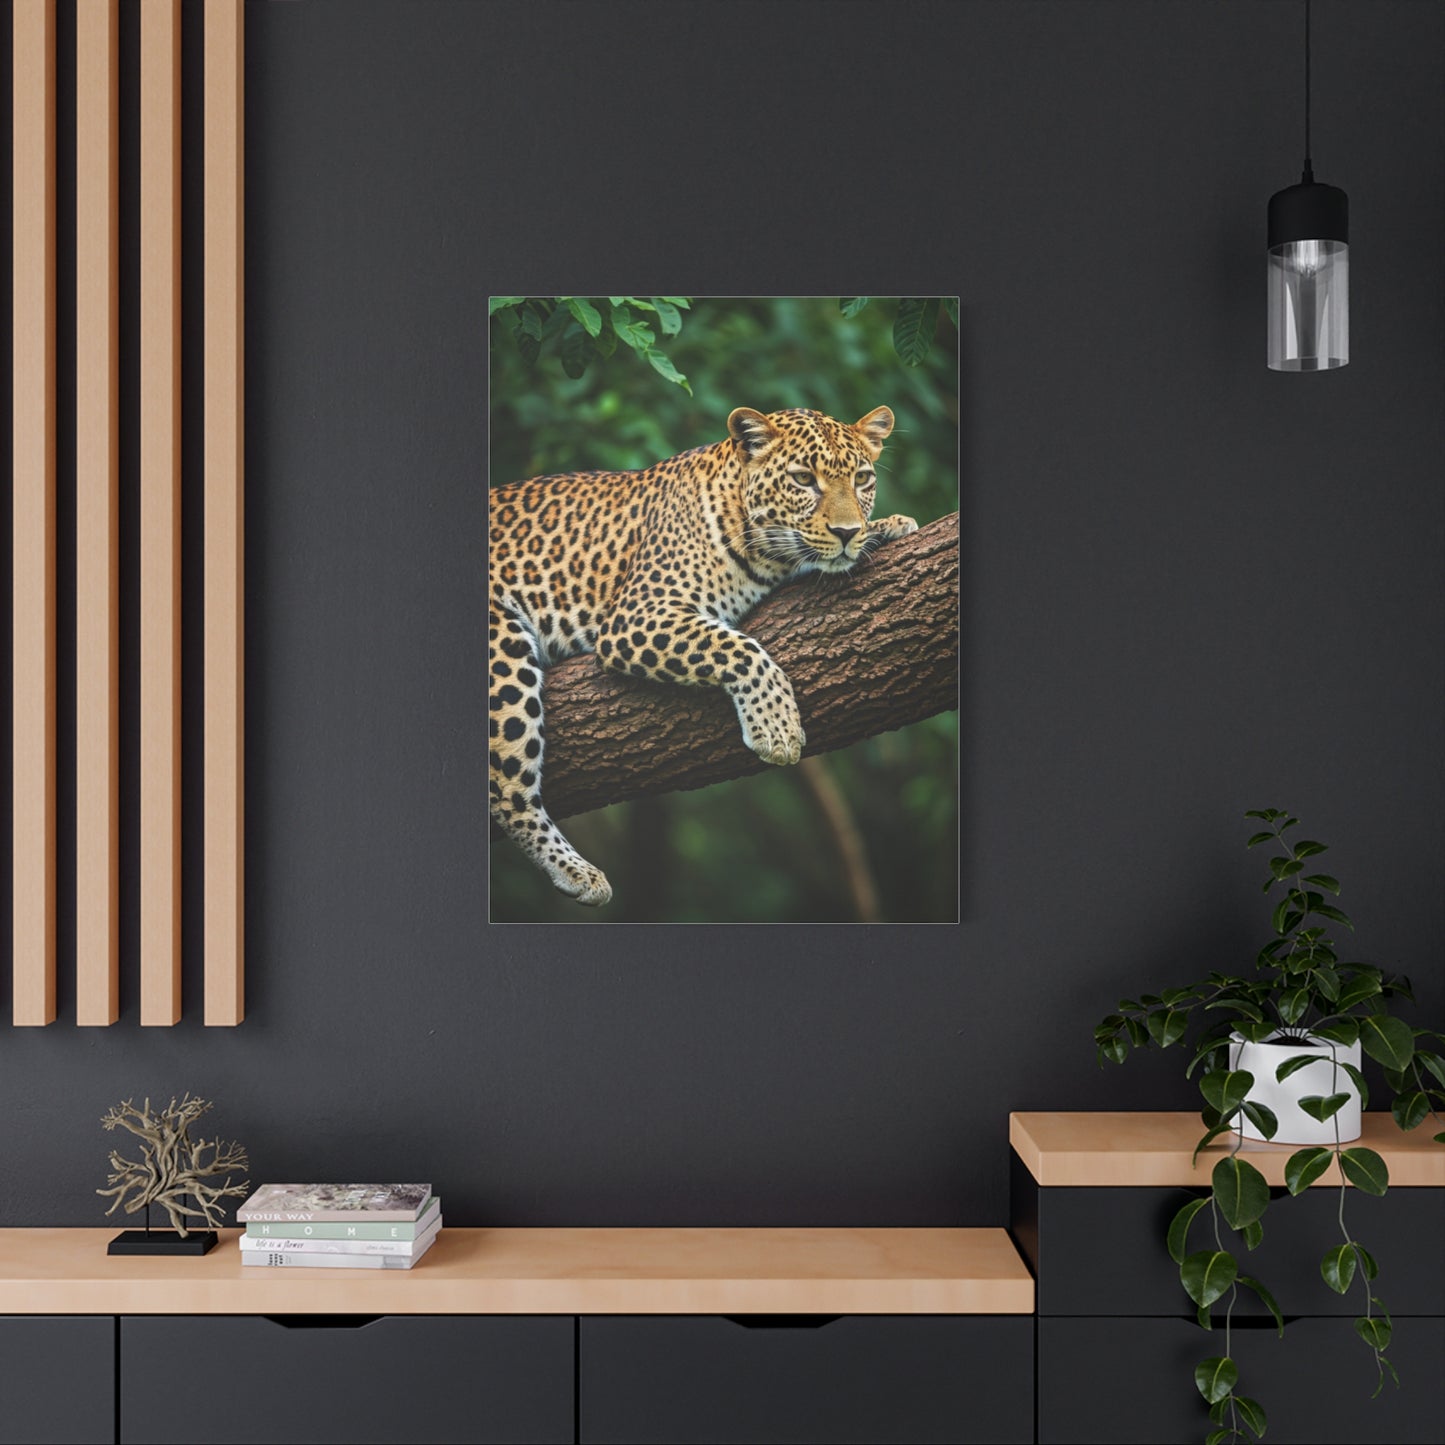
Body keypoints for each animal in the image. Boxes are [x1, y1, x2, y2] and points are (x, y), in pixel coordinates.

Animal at [489, 405, 917, 906]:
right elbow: (741, 648)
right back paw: (576, 871)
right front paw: (777, 729)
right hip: (503, 653)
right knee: (507, 790)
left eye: (862, 479)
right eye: (803, 479)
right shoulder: (637, 614)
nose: (848, 532)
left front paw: (887, 526)